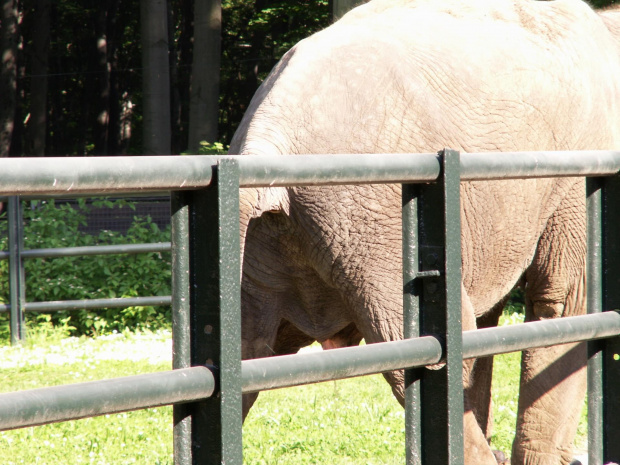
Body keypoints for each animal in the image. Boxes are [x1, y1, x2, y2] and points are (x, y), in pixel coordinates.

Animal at [230, 1, 620, 462]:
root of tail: (265, 138)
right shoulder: (579, 174)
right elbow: (565, 303)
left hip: (266, 248)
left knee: (247, 355)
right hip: (375, 229)